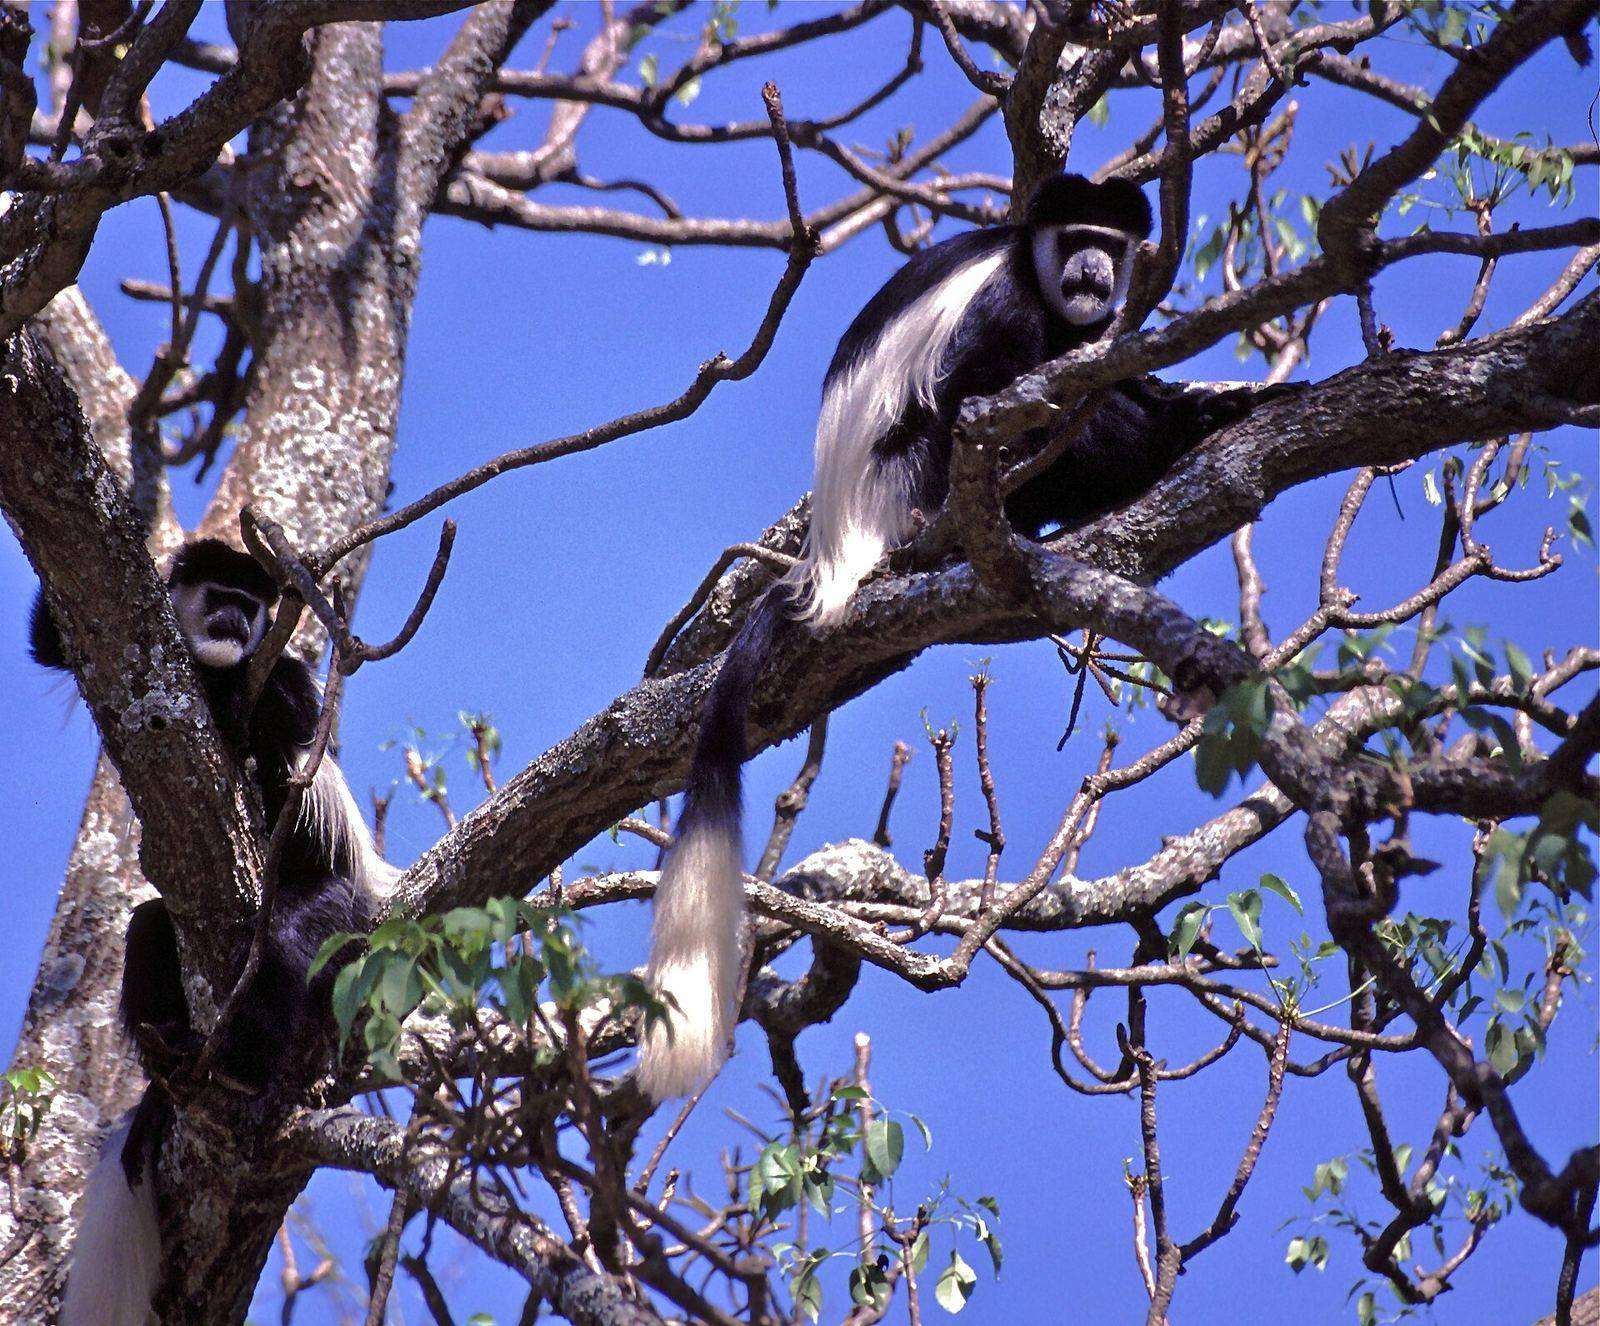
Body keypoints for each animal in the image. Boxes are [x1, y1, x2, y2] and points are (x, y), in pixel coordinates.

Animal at [37, 538, 398, 1326]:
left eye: (249, 602)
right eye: (216, 596)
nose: (234, 621)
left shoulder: (282, 673)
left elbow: (296, 721)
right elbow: (52, 641)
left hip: (334, 902)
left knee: (285, 943)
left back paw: (241, 1064)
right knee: (149, 927)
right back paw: (168, 1062)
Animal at [637, 174, 1284, 1099]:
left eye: (1110, 247)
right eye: (1076, 240)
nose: (1092, 276)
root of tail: (840, 548)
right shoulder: (1005, 308)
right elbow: (993, 382)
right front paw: (1182, 417)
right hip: (918, 470)